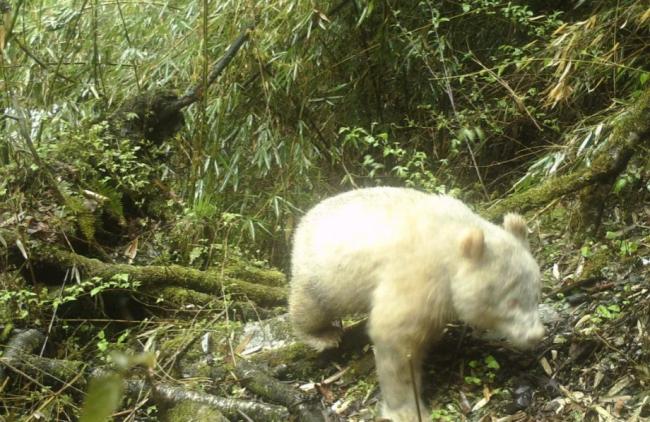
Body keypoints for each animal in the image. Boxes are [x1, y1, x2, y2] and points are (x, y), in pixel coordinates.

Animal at [288, 187, 545, 422]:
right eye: (511, 302)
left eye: (536, 294)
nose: (536, 335)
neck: (451, 242)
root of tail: (304, 219)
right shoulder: (417, 276)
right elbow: (395, 339)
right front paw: (406, 410)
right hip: (322, 273)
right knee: (310, 306)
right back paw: (323, 335)